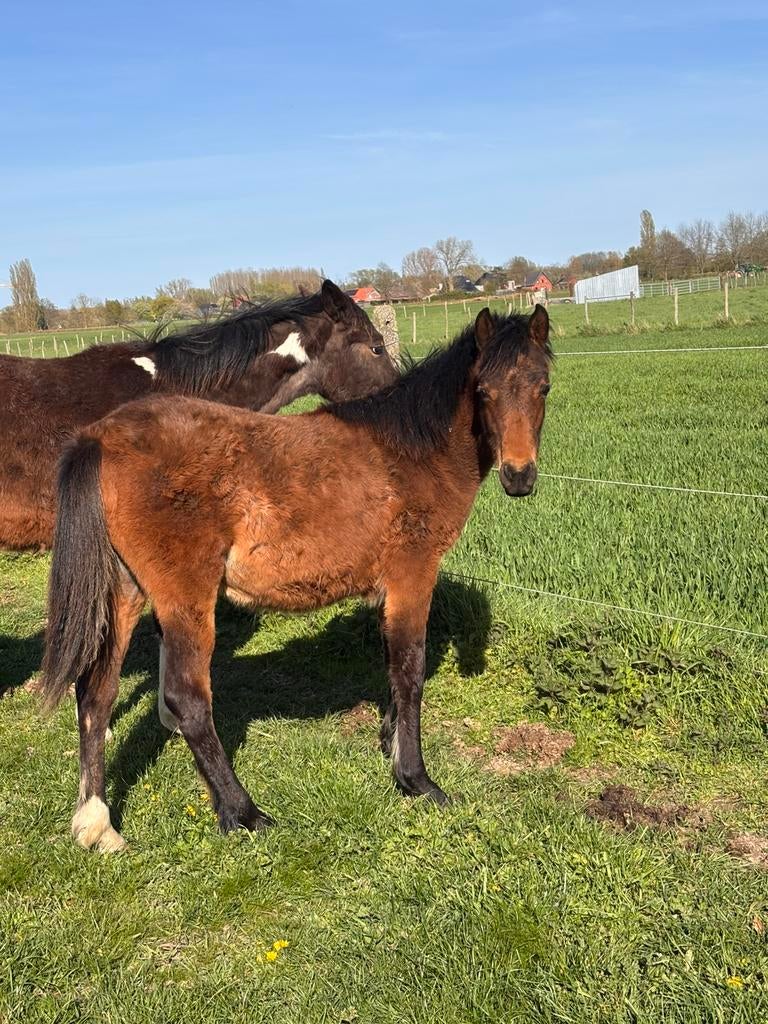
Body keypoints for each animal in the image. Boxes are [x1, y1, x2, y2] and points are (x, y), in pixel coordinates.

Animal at [40, 305, 552, 851]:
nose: (519, 476)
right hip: (184, 598)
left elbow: (391, 668)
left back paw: (97, 823)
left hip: (124, 591)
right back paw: (243, 813)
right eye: (484, 391)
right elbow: (409, 671)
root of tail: (99, 437)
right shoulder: (413, 575)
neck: (411, 450)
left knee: (96, 693)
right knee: (187, 699)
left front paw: (391, 745)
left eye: (543, 386)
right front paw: (416, 779)